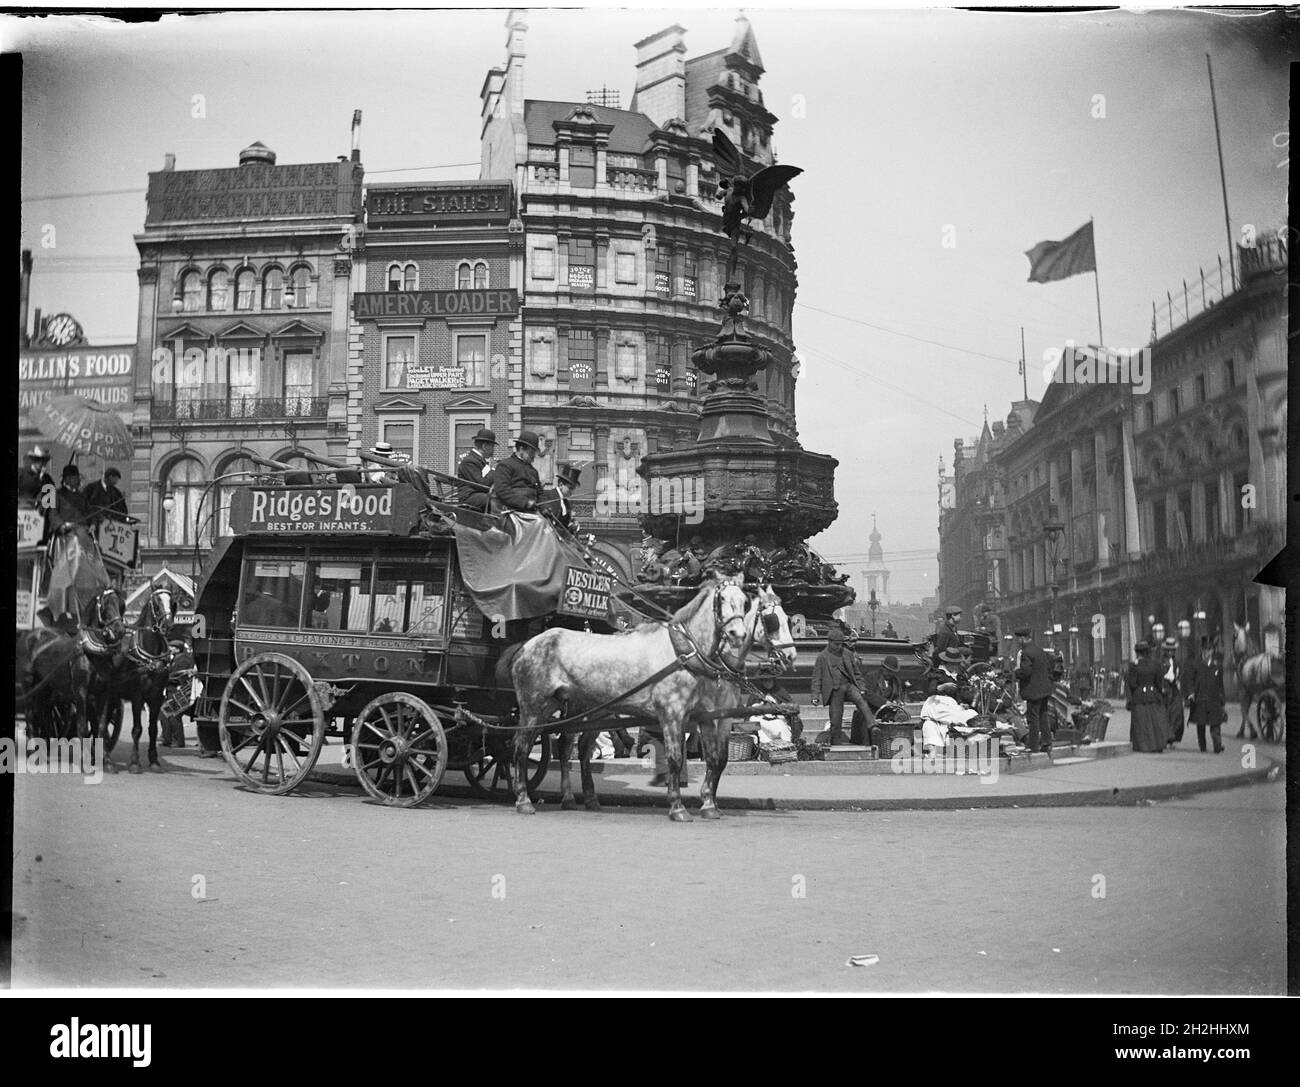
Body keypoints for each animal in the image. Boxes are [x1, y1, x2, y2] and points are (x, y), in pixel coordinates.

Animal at [86, 585, 176, 774]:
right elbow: (137, 729)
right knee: (98, 723)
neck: (151, 656)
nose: (167, 625)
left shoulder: (157, 697)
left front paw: (154, 760)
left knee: (101, 723)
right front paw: (135, 762)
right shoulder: (137, 696)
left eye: (172, 602)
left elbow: (152, 729)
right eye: (156, 603)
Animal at [506, 582, 790, 821]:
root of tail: (526, 646)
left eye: (743, 603)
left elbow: (717, 759)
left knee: (573, 746)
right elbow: (676, 758)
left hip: (582, 707)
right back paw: (523, 799)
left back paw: (580, 798)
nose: (736, 633)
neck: (686, 653)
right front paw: (678, 807)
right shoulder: (675, 714)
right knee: (520, 746)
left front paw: (710, 805)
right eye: (772, 620)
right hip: (534, 707)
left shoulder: (715, 716)